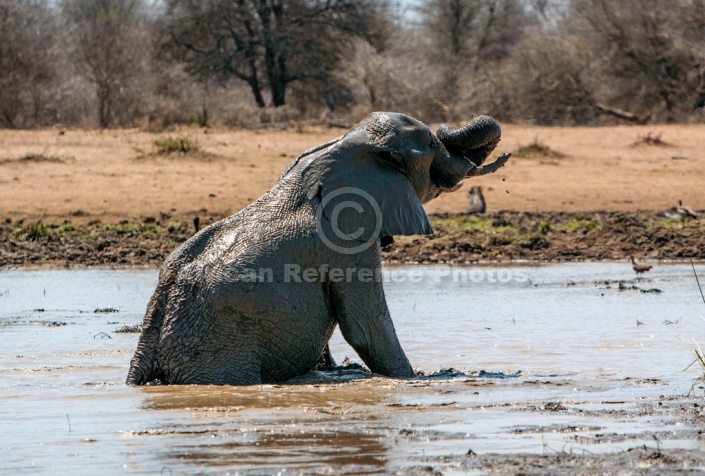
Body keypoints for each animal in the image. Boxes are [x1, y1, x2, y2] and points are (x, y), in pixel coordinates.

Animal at [126, 112, 508, 386]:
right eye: (429, 143)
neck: (339, 145)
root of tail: (145, 352)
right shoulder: (347, 237)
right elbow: (366, 326)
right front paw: (416, 380)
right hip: (218, 351)